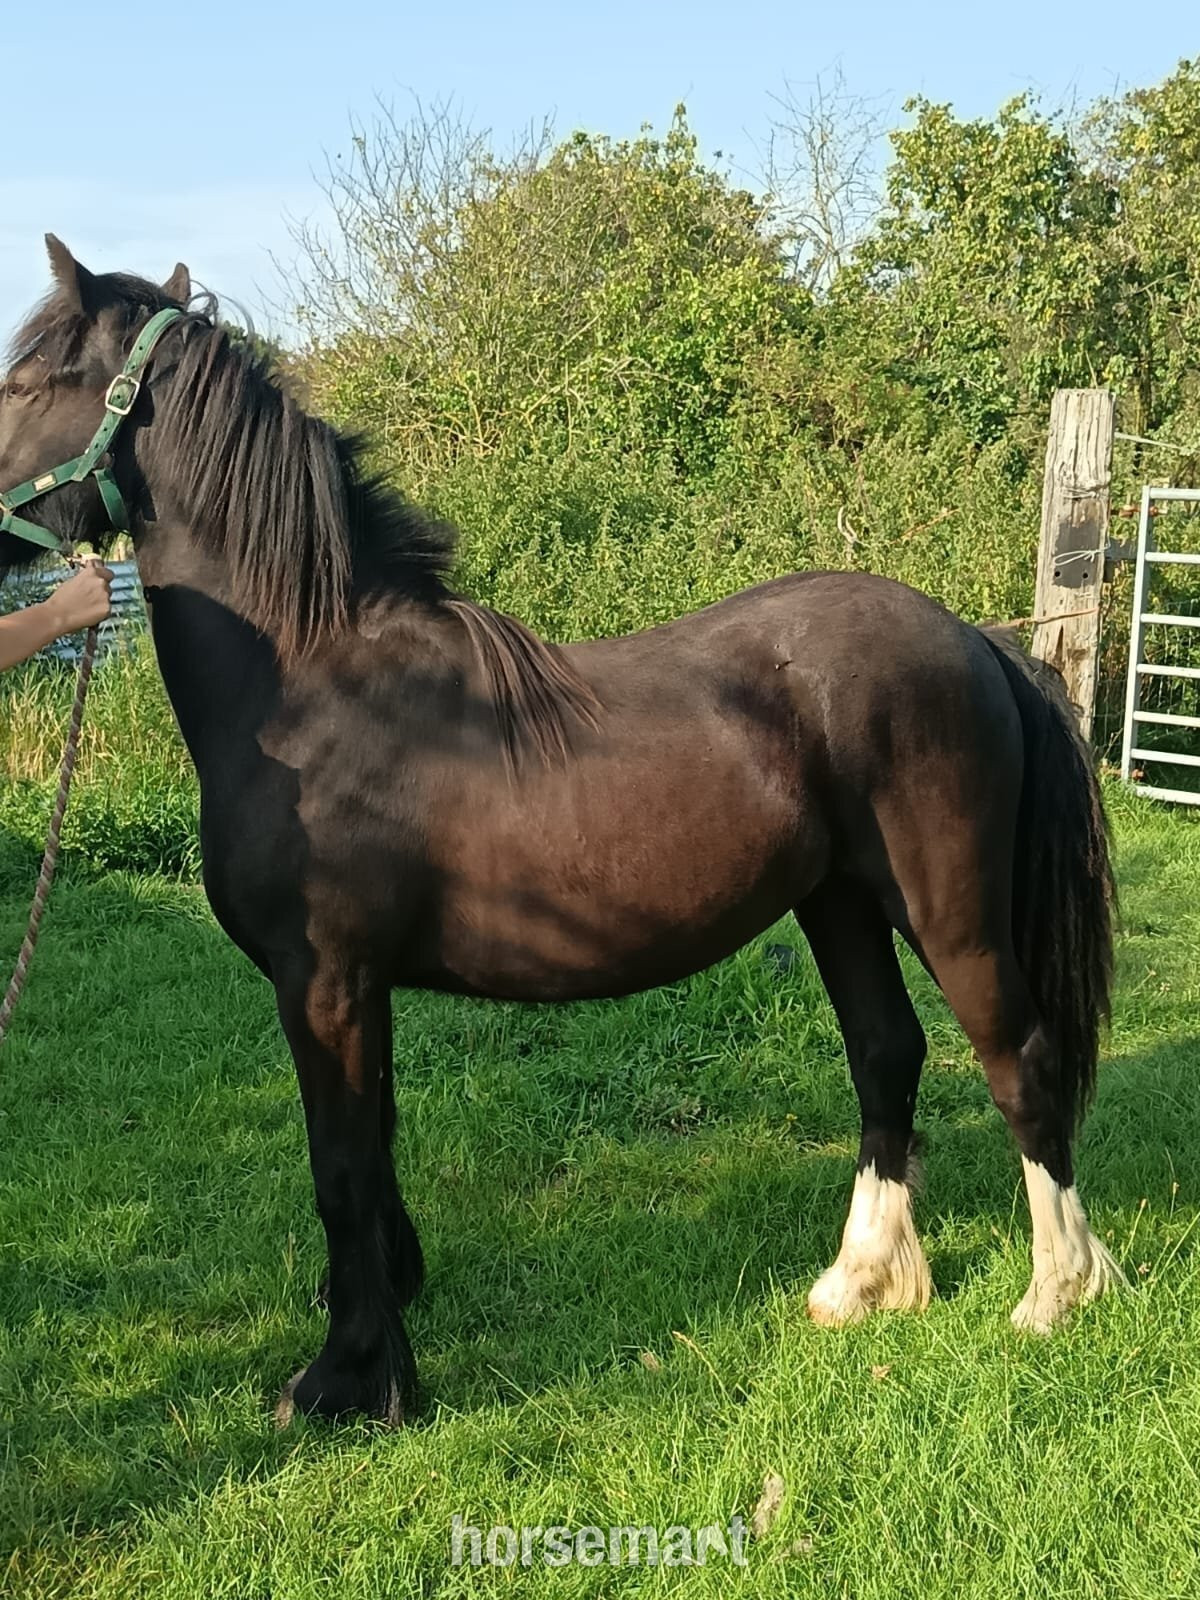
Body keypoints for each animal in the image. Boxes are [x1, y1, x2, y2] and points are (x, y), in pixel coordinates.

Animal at [0, 236, 1122, 1425]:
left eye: (25, 384)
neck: (315, 683)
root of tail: (971, 635)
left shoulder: (325, 981)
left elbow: (340, 1169)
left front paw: (346, 1378)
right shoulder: (358, 990)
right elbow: (373, 1150)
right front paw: (386, 1337)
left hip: (947, 909)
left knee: (1017, 1056)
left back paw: (1057, 1293)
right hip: (841, 904)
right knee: (886, 1052)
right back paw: (859, 1284)